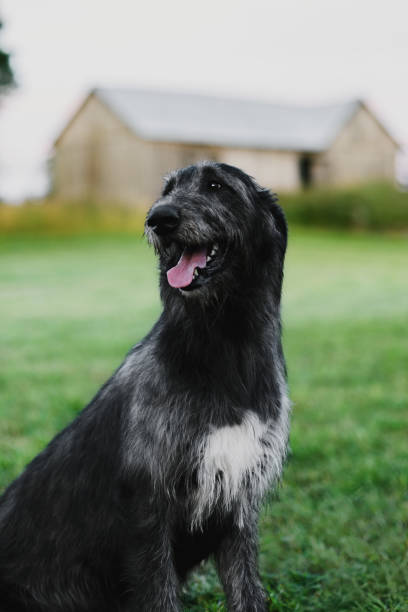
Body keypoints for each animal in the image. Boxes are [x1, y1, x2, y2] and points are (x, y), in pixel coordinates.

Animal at [0, 163, 290, 612]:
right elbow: (158, 593)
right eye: (166, 189)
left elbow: (247, 590)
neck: (222, 348)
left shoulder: (238, 504)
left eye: (216, 185)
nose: (159, 219)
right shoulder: (148, 509)